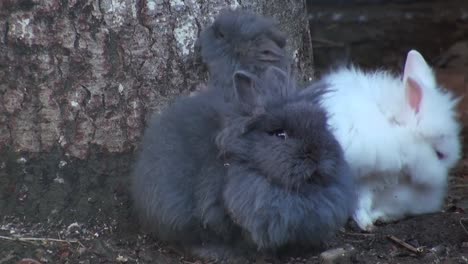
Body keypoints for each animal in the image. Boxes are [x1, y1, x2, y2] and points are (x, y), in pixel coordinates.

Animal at [302, 49, 462, 231]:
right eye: (439, 154)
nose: (441, 179)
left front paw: (378, 218)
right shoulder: (362, 179)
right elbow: (360, 203)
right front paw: (366, 225)